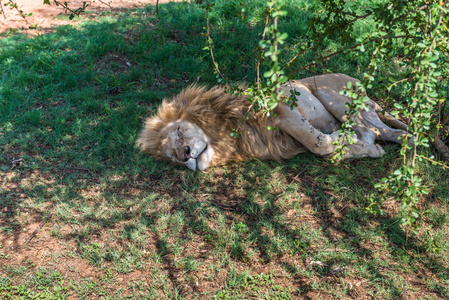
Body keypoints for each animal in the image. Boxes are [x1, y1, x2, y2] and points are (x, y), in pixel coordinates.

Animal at [137, 73, 410, 171]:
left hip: (337, 98)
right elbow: (325, 150)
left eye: (180, 132)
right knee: (386, 132)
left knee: (369, 128)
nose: (184, 155)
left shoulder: (283, 105)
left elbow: (317, 142)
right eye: (171, 156)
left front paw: (347, 141)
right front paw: (356, 147)